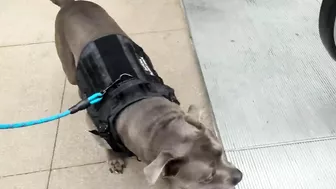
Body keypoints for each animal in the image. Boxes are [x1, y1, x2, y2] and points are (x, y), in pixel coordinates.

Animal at [51, 0, 243, 188]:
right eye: (208, 178)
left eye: (221, 152)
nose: (239, 176)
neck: (162, 126)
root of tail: (70, 3)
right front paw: (114, 157)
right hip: (69, 69)